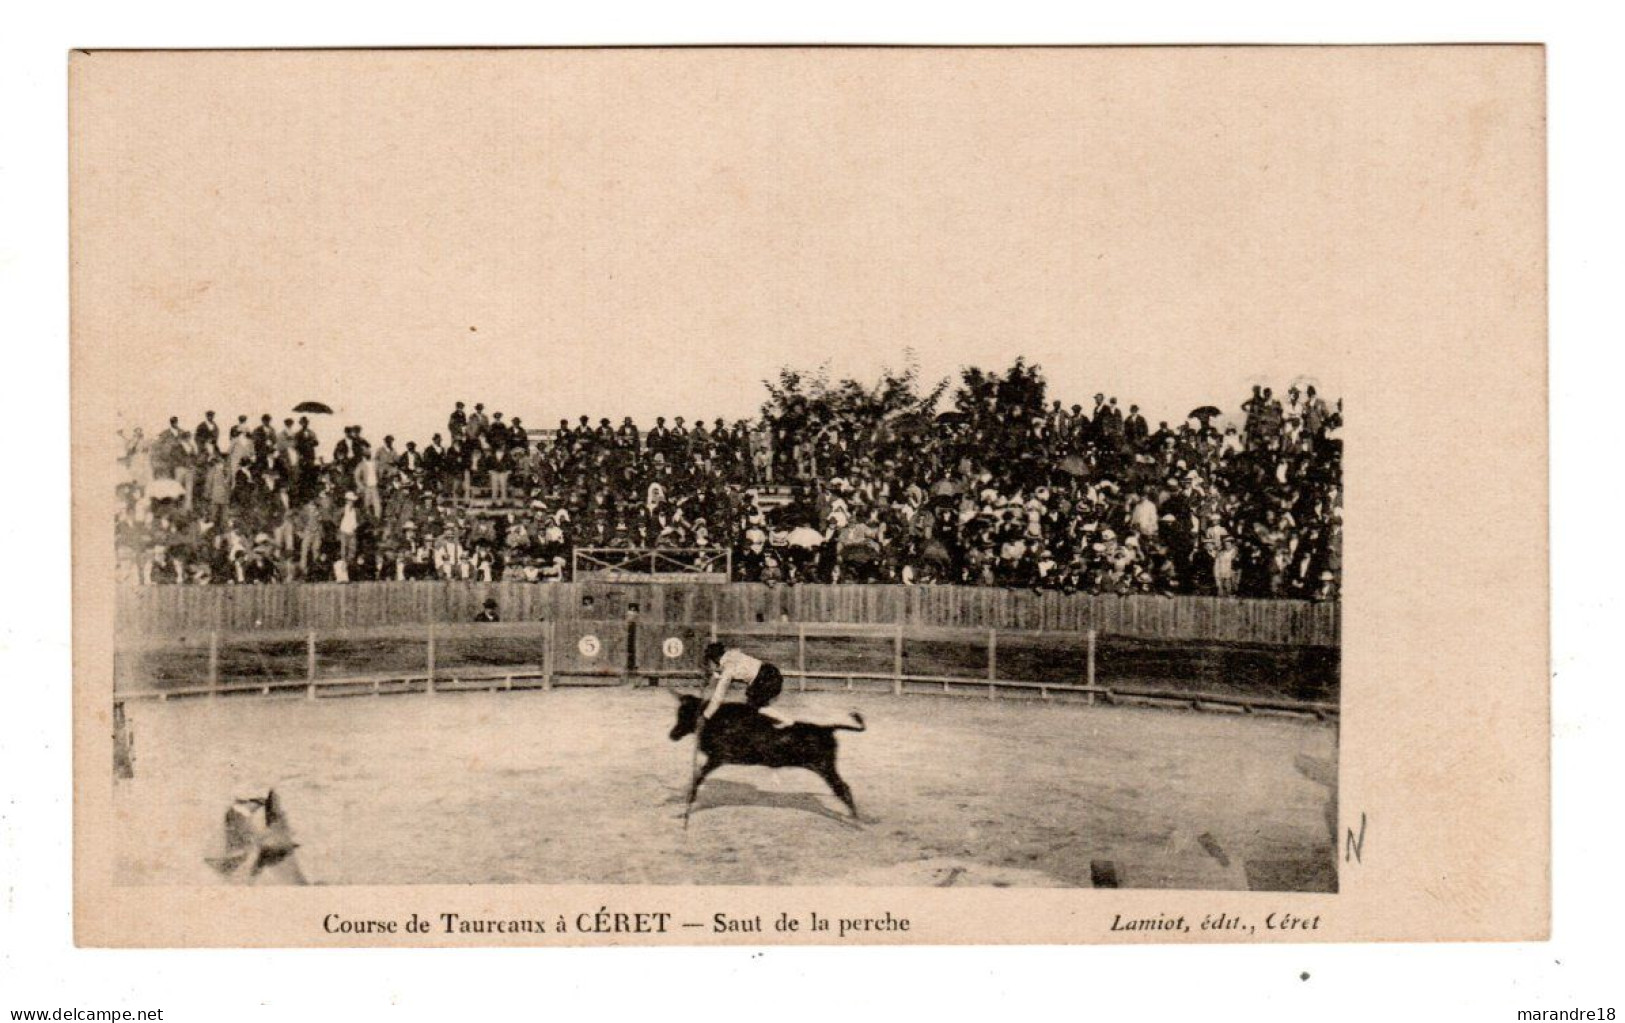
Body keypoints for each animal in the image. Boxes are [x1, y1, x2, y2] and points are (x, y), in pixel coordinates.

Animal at [666, 698, 871, 818]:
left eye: (685, 714)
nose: (672, 735)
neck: (718, 719)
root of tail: (827, 728)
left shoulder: (718, 757)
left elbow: (699, 775)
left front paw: (687, 805)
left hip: (824, 766)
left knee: (842, 788)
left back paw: (855, 820)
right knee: (842, 788)